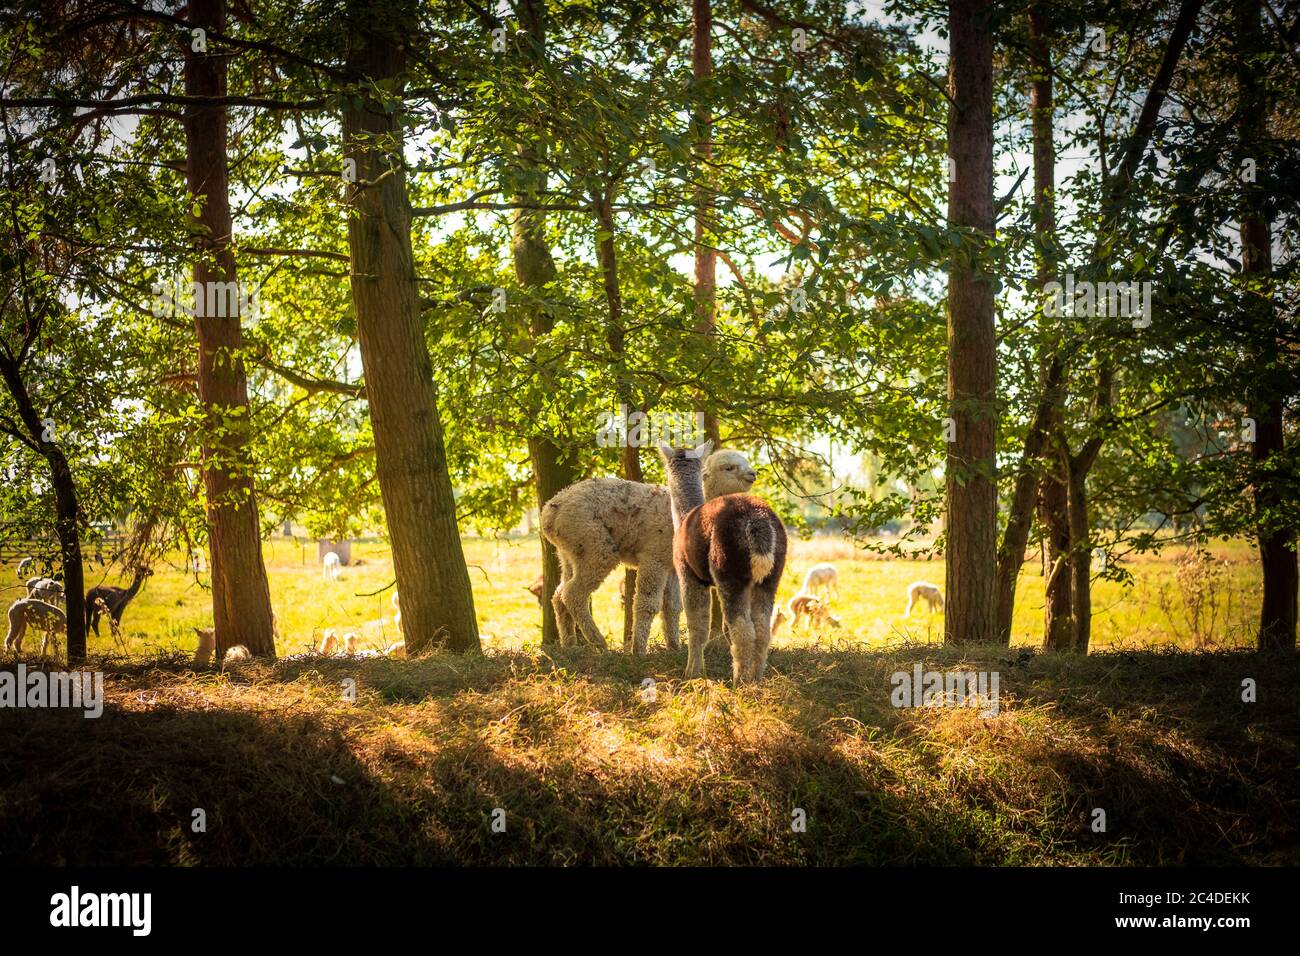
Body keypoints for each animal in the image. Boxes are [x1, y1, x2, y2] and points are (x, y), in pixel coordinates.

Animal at [540, 447, 759, 655]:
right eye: (729, 467)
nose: (753, 474)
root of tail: (550, 510)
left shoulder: (671, 566)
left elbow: (672, 606)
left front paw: (674, 647)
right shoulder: (655, 557)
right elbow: (647, 603)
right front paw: (639, 650)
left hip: (570, 552)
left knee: (558, 594)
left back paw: (569, 645)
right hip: (594, 544)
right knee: (573, 593)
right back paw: (599, 643)